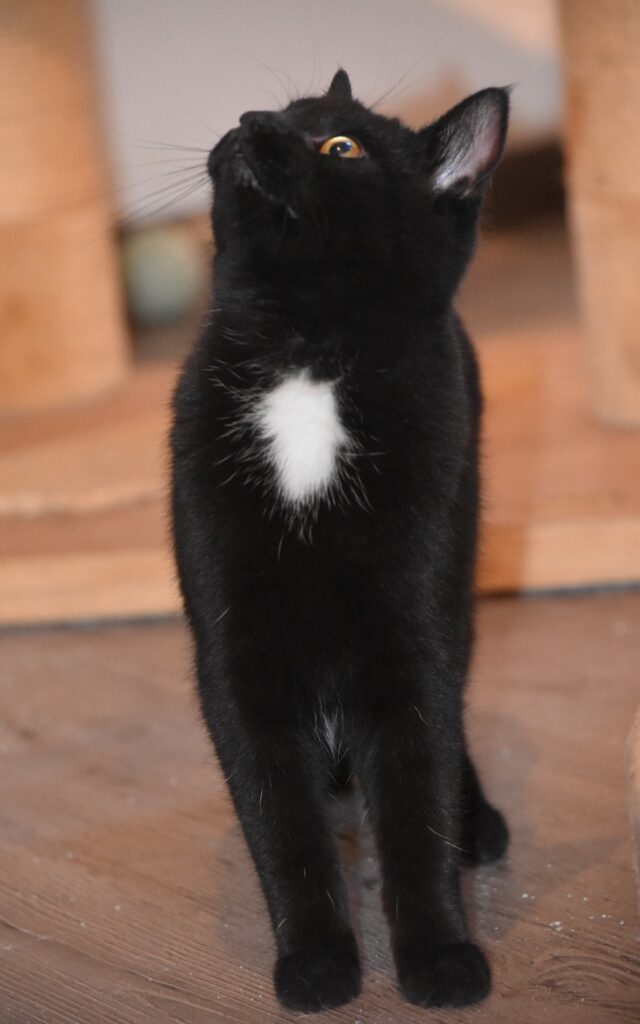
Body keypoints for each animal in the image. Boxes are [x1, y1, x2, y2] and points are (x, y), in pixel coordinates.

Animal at [171, 68, 509, 1011]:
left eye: (341, 146)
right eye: (282, 116)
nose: (249, 119)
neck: (306, 362)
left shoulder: (414, 637)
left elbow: (417, 804)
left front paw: (438, 957)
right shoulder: (234, 652)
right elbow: (281, 822)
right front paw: (317, 960)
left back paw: (479, 818)